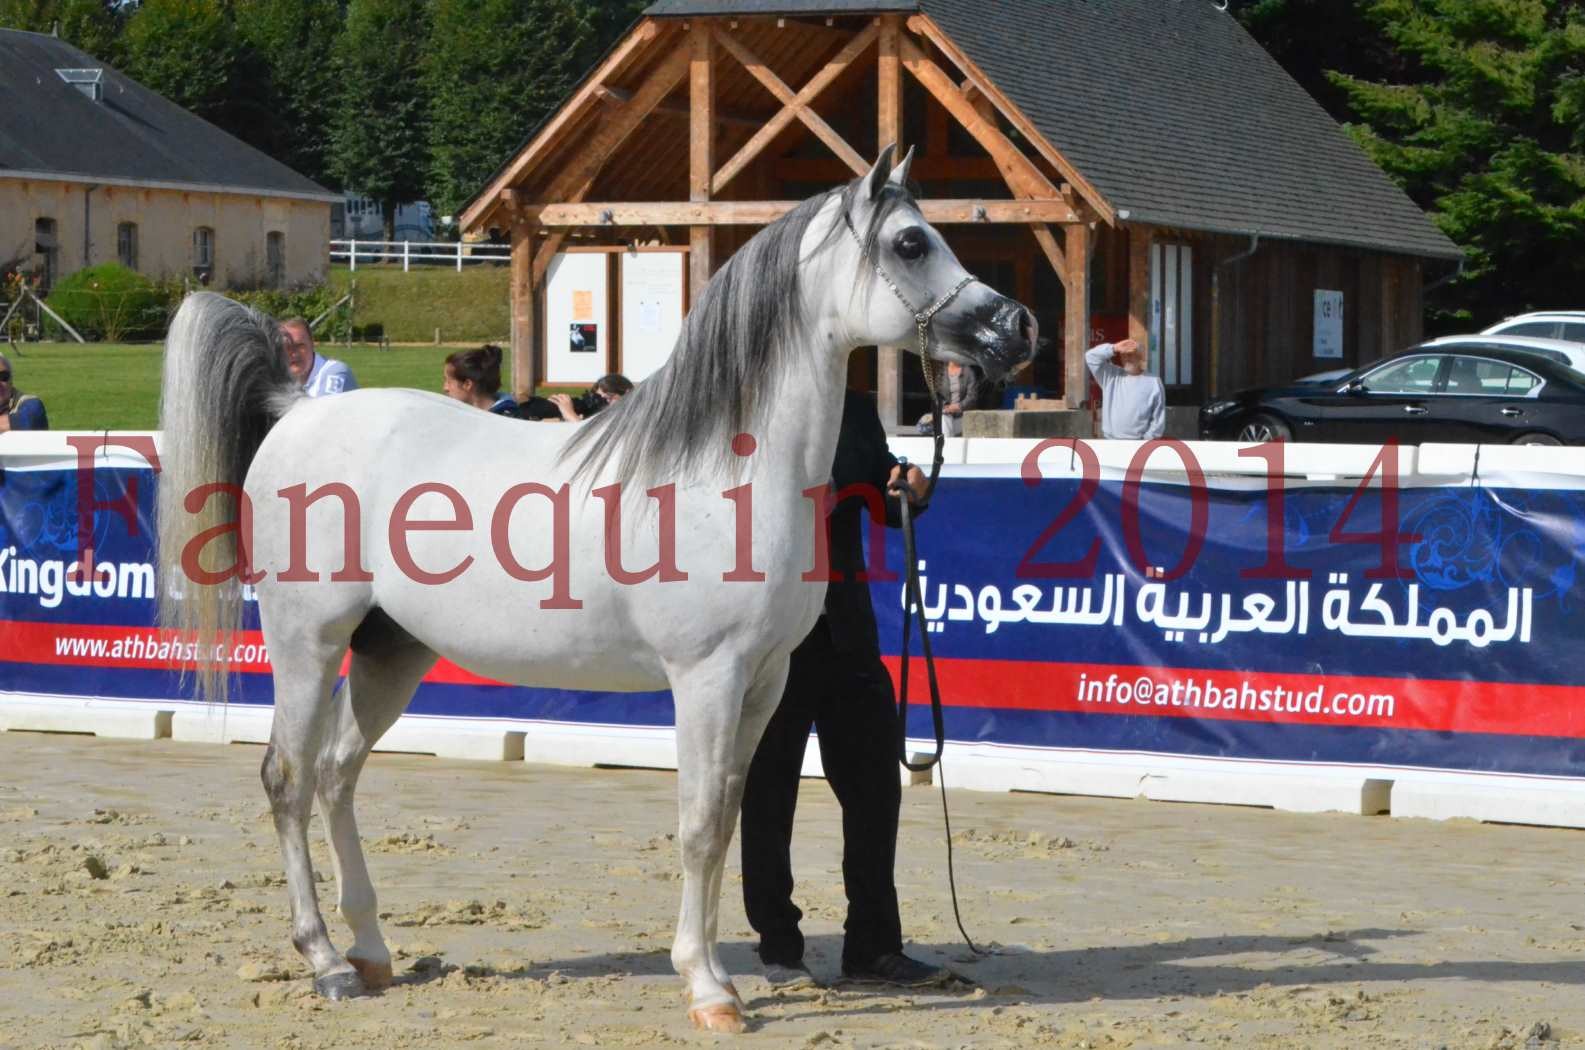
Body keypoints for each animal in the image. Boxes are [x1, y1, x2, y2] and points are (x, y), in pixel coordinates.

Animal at [154, 149, 1033, 1034]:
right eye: (911, 243)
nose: (1018, 327)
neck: (727, 469)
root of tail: (299, 410)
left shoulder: (765, 681)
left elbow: (730, 816)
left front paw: (716, 974)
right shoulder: (705, 677)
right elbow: (700, 824)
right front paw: (709, 990)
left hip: (390, 652)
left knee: (338, 774)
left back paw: (370, 953)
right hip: (308, 640)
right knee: (288, 779)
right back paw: (325, 961)